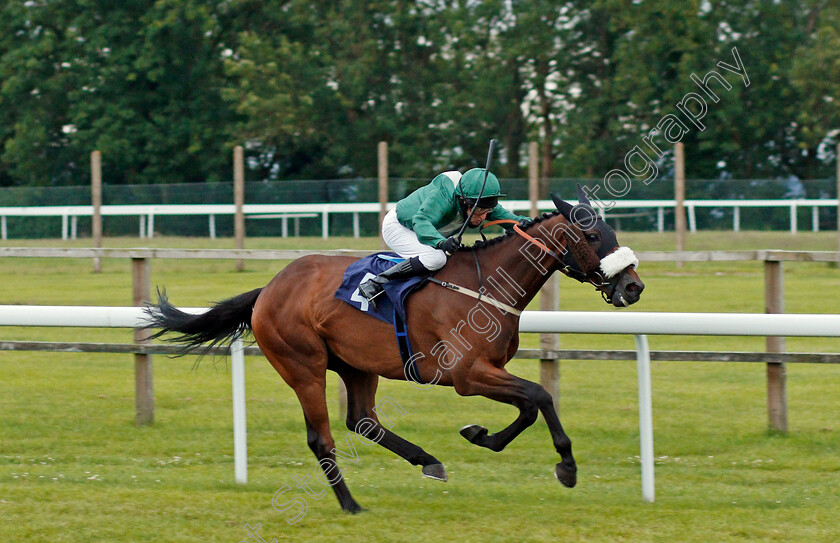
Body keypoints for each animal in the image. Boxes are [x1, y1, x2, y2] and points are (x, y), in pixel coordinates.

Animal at [144, 191, 644, 516]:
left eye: (611, 229)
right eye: (593, 236)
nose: (633, 286)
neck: (485, 284)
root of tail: (267, 290)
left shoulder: (488, 370)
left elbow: (528, 406)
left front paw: (481, 435)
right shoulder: (467, 375)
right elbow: (539, 395)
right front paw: (567, 467)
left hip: (356, 365)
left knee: (363, 420)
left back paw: (428, 462)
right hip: (303, 365)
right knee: (322, 437)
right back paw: (350, 504)